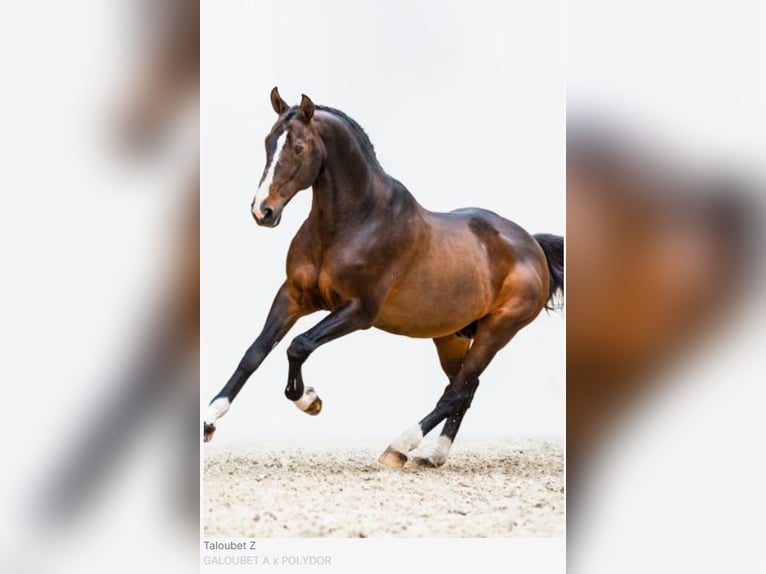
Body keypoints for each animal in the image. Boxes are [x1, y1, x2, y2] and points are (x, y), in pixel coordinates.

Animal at [204, 89, 564, 468]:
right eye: (268, 142)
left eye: (299, 147)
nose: (263, 211)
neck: (353, 223)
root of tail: (532, 246)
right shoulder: (293, 296)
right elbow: (255, 352)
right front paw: (209, 422)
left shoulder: (358, 311)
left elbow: (298, 345)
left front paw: (309, 400)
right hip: (450, 336)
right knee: (466, 389)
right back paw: (433, 456)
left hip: (497, 330)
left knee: (458, 390)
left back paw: (400, 447)